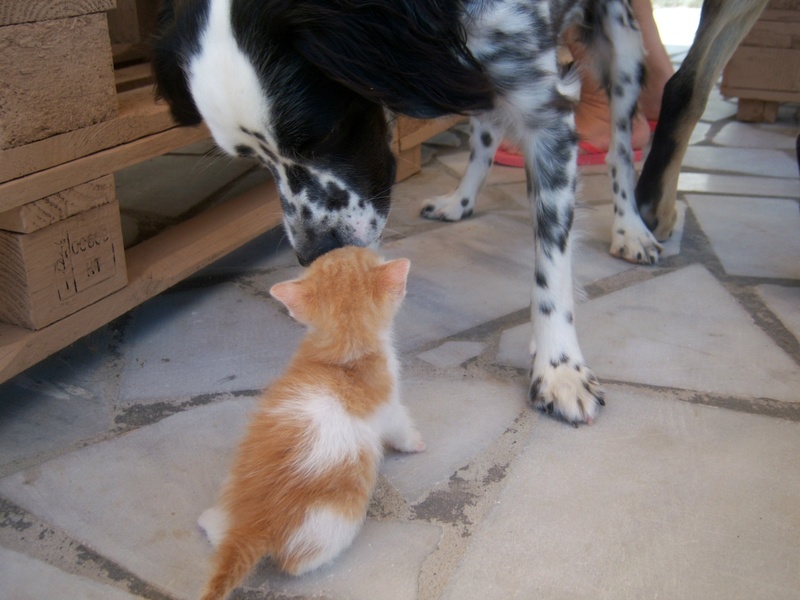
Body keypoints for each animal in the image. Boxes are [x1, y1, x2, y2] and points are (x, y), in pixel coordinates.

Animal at [152, 0, 768, 426]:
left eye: (323, 132)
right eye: (251, 161)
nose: (313, 254)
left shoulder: (546, 111)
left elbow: (552, 264)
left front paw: (559, 368)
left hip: (621, 48)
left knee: (620, 142)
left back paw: (632, 225)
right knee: (487, 130)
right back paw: (460, 201)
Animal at [198, 246, 424, 596]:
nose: (357, 244)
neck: (344, 355)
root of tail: (253, 522)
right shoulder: (389, 406)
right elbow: (400, 427)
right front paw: (415, 443)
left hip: (232, 482)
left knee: (220, 530)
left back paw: (210, 523)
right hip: (332, 520)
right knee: (295, 564)